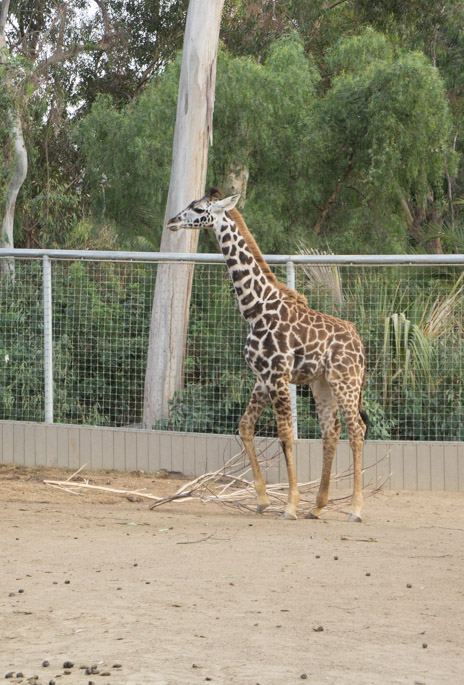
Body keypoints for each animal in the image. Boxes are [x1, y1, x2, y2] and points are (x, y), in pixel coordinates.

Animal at [168, 187, 370, 520]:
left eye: (197, 208)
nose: (172, 221)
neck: (255, 309)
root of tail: (360, 344)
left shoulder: (278, 376)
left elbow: (285, 435)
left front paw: (289, 504)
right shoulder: (261, 378)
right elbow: (245, 426)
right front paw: (262, 499)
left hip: (346, 381)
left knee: (357, 428)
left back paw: (355, 508)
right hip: (322, 383)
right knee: (332, 430)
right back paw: (318, 506)